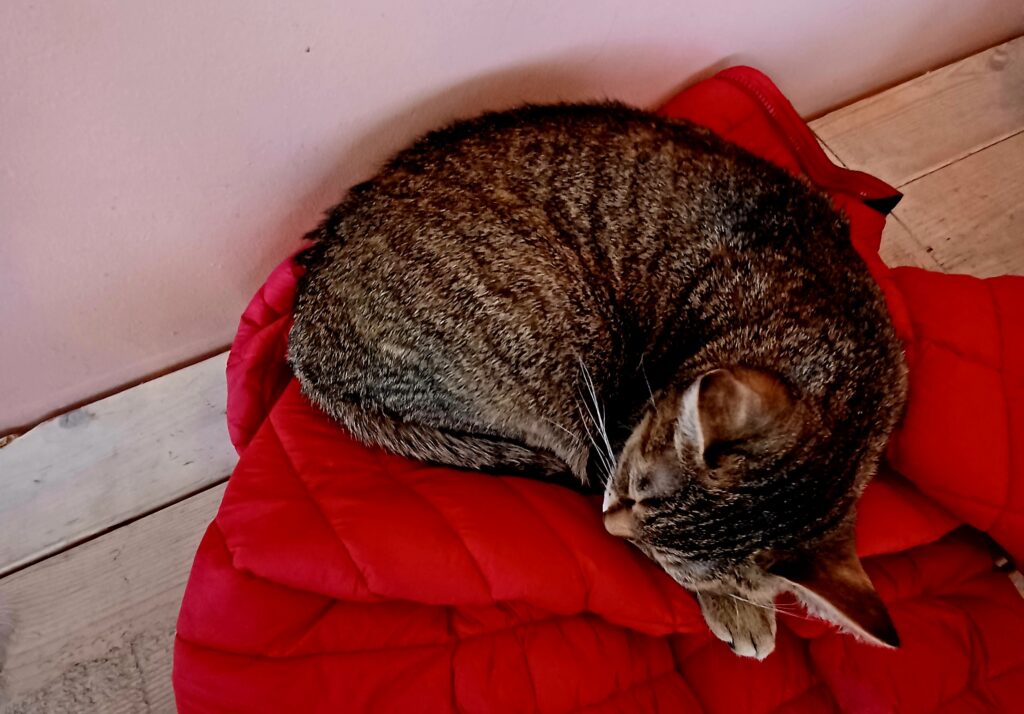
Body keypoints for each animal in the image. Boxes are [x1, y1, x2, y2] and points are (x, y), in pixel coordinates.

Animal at [286, 100, 905, 655]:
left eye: (665, 562)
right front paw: (739, 610)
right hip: (561, 325)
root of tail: (306, 337)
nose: (609, 528)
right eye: (631, 484)